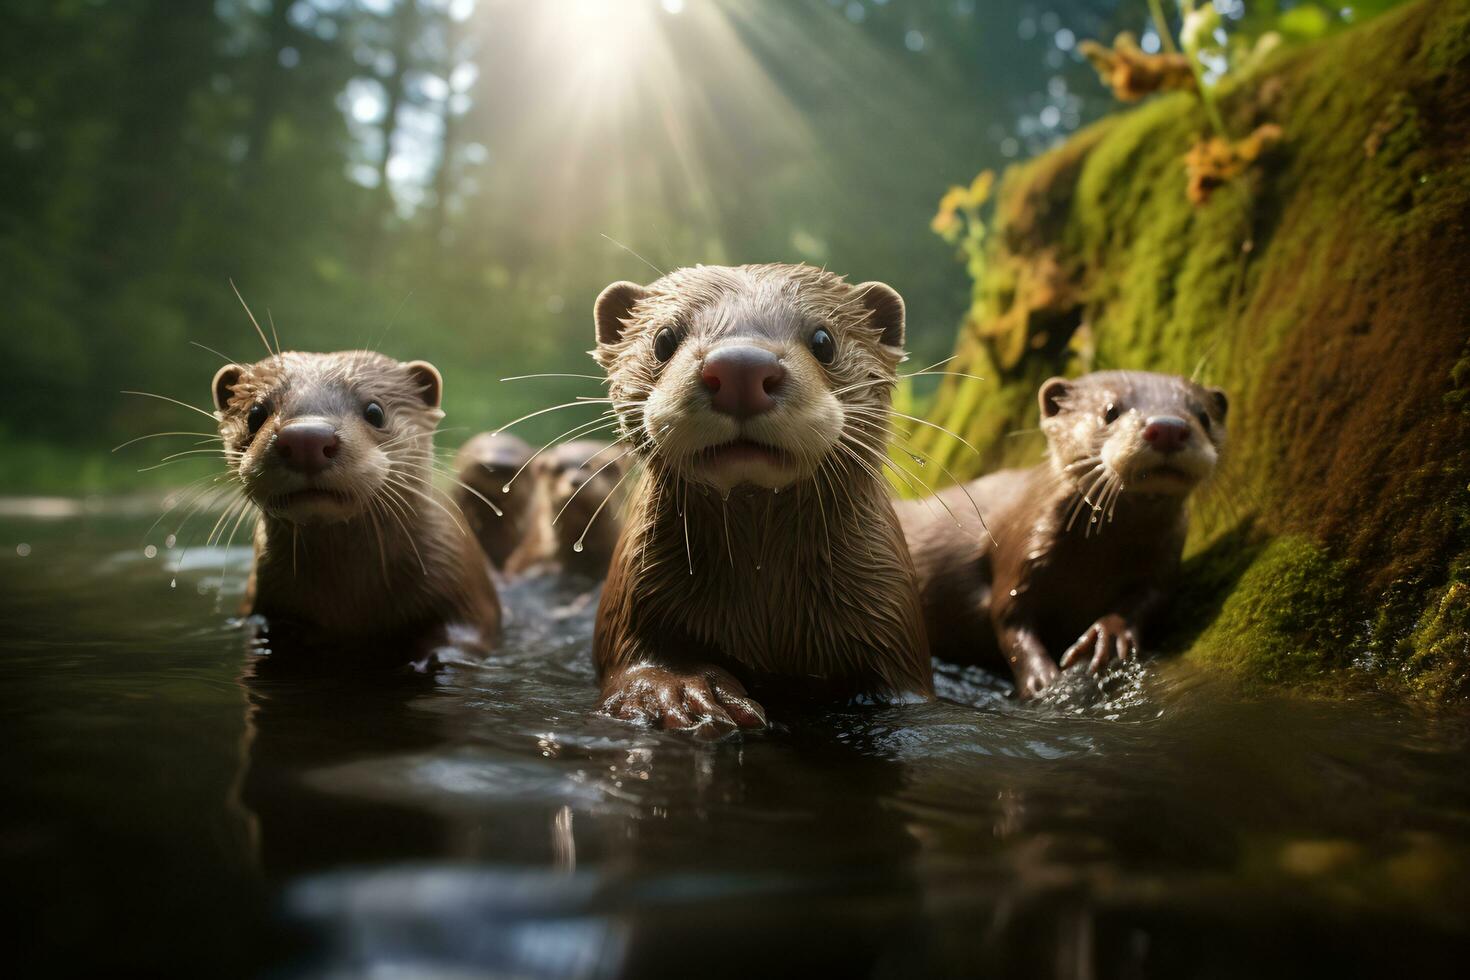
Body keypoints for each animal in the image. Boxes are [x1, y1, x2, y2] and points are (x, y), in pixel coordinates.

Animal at [588, 264, 923, 731]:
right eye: (664, 340)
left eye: (824, 340)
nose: (740, 369)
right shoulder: (630, 597)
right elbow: (638, 663)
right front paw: (682, 692)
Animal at [893, 367, 1228, 696]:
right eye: (1110, 411)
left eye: (1203, 416)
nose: (1168, 427)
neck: (1098, 557)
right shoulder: (1020, 551)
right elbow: (1007, 617)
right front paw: (1041, 679)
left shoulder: (1165, 560)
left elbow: (1151, 600)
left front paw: (1108, 635)